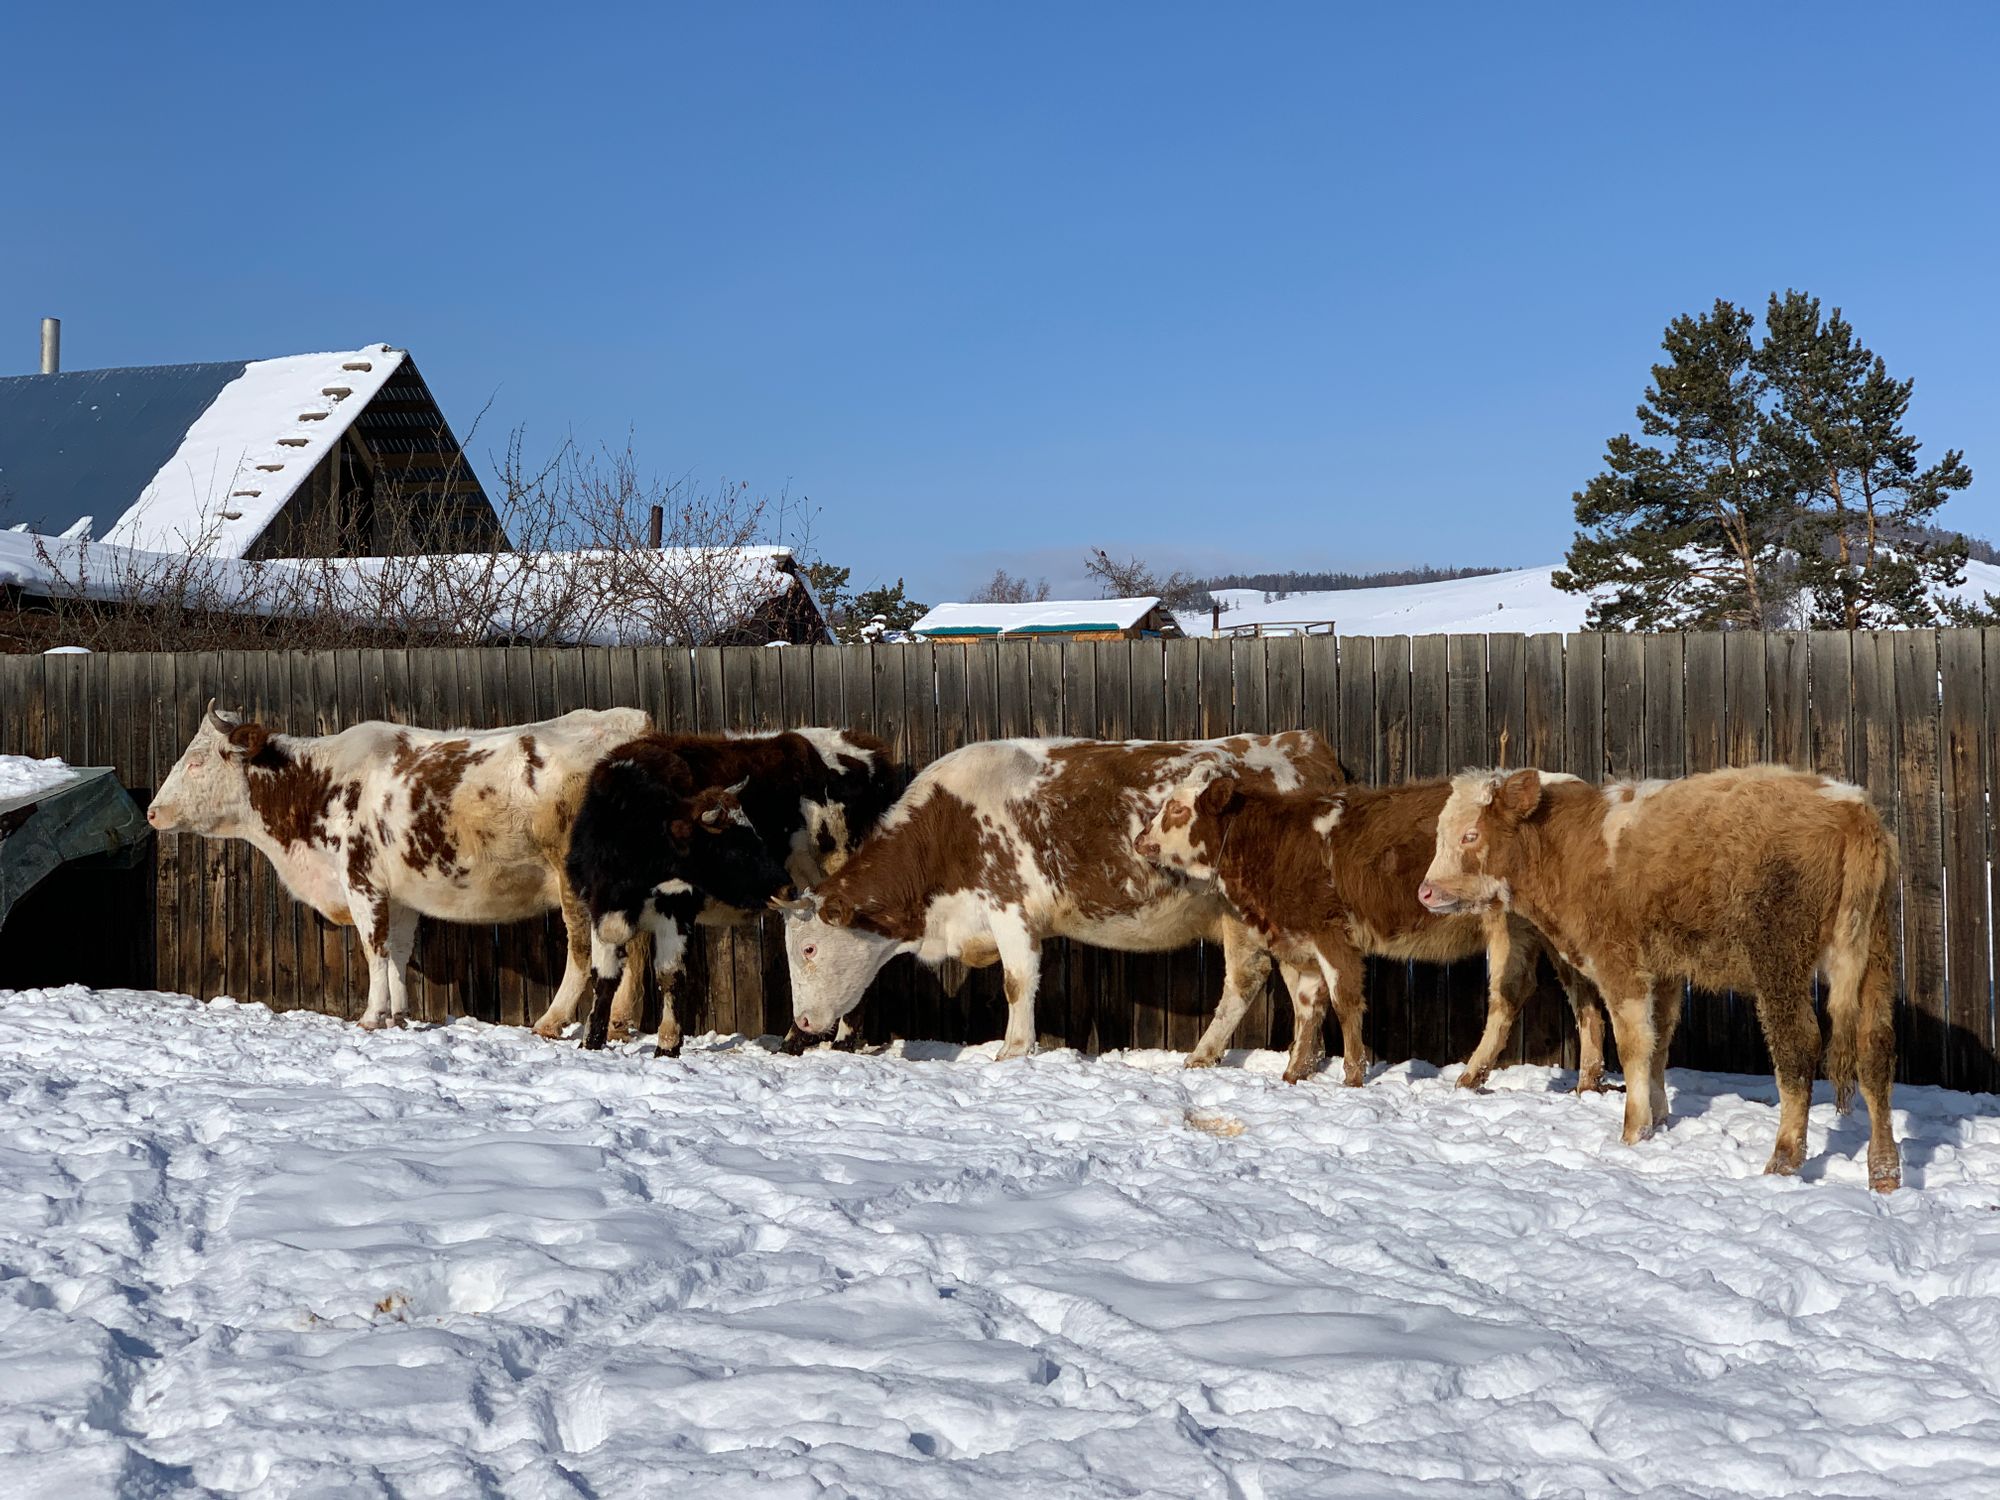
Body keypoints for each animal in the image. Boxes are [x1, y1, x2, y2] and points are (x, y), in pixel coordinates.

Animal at [148, 704, 648, 1032]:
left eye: (196, 762)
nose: (153, 812)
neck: (320, 787)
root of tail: (628, 724)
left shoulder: (361, 882)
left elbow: (374, 949)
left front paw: (372, 1017)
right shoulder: (400, 892)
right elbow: (399, 950)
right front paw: (400, 1015)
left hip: (576, 883)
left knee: (586, 951)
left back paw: (553, 1020)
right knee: (636, 949)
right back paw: (621, 1024)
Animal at [780, 736, 1344, 1064]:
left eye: (809, 948)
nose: (802, 1022)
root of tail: (1302, 743)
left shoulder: (1008, 905)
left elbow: (1016, 981)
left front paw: (1011, 1051)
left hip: (1240, 914)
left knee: (1246, 981)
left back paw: (1203, 1055)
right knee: (1305, 987)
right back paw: (1300, 1063)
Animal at [1136, 776, 1600, 1096]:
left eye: (1176, 810)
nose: (1140, 839)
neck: (1274, 843)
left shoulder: (1331, 933)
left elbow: (1344, 1002)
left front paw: (1353, 1078)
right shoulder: (1297, 943)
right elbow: (1307, 1009)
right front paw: (1293, 1075)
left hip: (1511, 928)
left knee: (1509, 997)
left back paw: (1471, 1075)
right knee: (1583, 996)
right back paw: (1586, 1083)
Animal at [1416, 768, 1896, 1192]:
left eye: (1470, 835)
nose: (1426, 891)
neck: (1572, 844)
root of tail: (1850, 805)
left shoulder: (1620, 965)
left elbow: (1633, 1044)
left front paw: (1633, 1132)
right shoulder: (1663, 971)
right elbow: (1659, 1041)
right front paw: (1659, 1119)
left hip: (1780, 961)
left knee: (1797, 1049)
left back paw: (1783, 1160)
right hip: (1873, 958)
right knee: (1874, 1050)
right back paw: (1884, 1172)